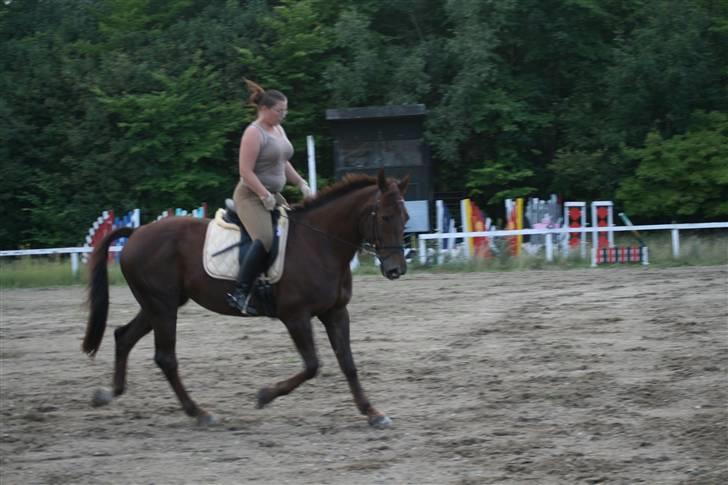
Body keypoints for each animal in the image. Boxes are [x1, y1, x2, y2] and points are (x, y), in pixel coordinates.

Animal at [82, 170, 410, 428]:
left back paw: (108, 394)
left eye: (405, 217)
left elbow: (348, 363)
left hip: (158, 305)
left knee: (124, 336)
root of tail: (137, 232)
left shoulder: (336, 312)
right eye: (385, 217)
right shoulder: (295, 316)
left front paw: (372, 413)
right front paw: (264, 395)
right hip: (162, 307)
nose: (396, 269)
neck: (321, 243)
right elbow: (312, 365)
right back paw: (200, 413)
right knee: (165, 358)